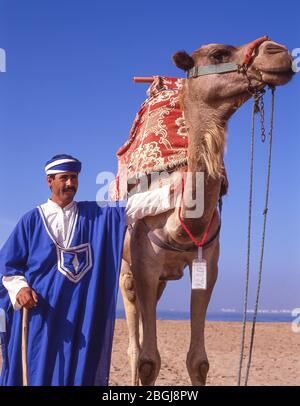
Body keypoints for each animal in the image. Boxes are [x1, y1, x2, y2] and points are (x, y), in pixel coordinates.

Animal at [119, 36, 292, 386]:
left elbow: (198, 360)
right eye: (218, 54)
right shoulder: (144, 264)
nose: (278, 52)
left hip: (159, 282)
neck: (179, 222)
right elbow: (148, 360)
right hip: (127, 273)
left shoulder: (208, 264)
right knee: (134, 346)